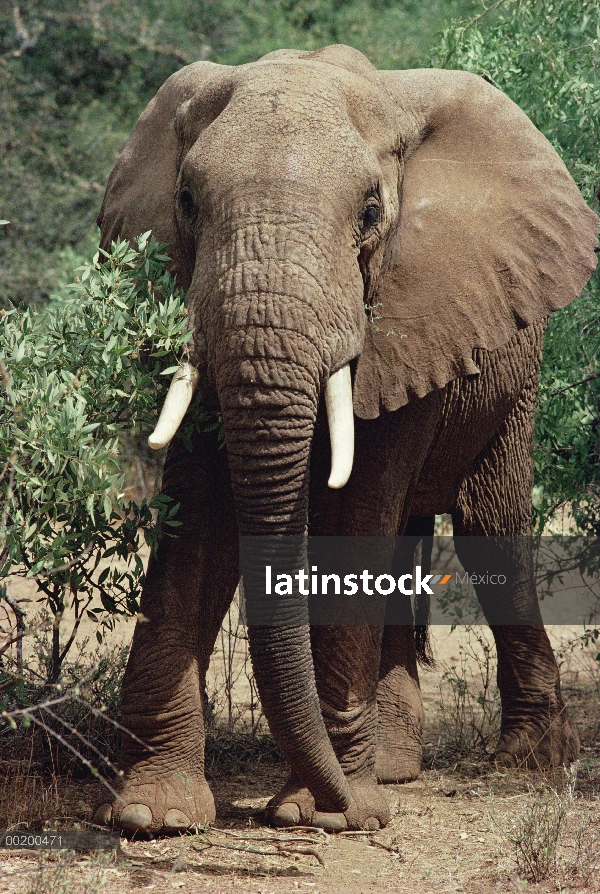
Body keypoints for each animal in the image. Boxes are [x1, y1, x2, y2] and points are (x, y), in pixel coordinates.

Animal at [91, 45, 596, 836]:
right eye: (187, 204)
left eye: (370, 213)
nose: (334, 800)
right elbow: (200, 516)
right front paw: (155, 813)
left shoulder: (415, 310)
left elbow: (356, 509)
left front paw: (326, 817)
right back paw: (391, 767)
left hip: (516, 365)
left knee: (488, 529)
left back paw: (529, 764)